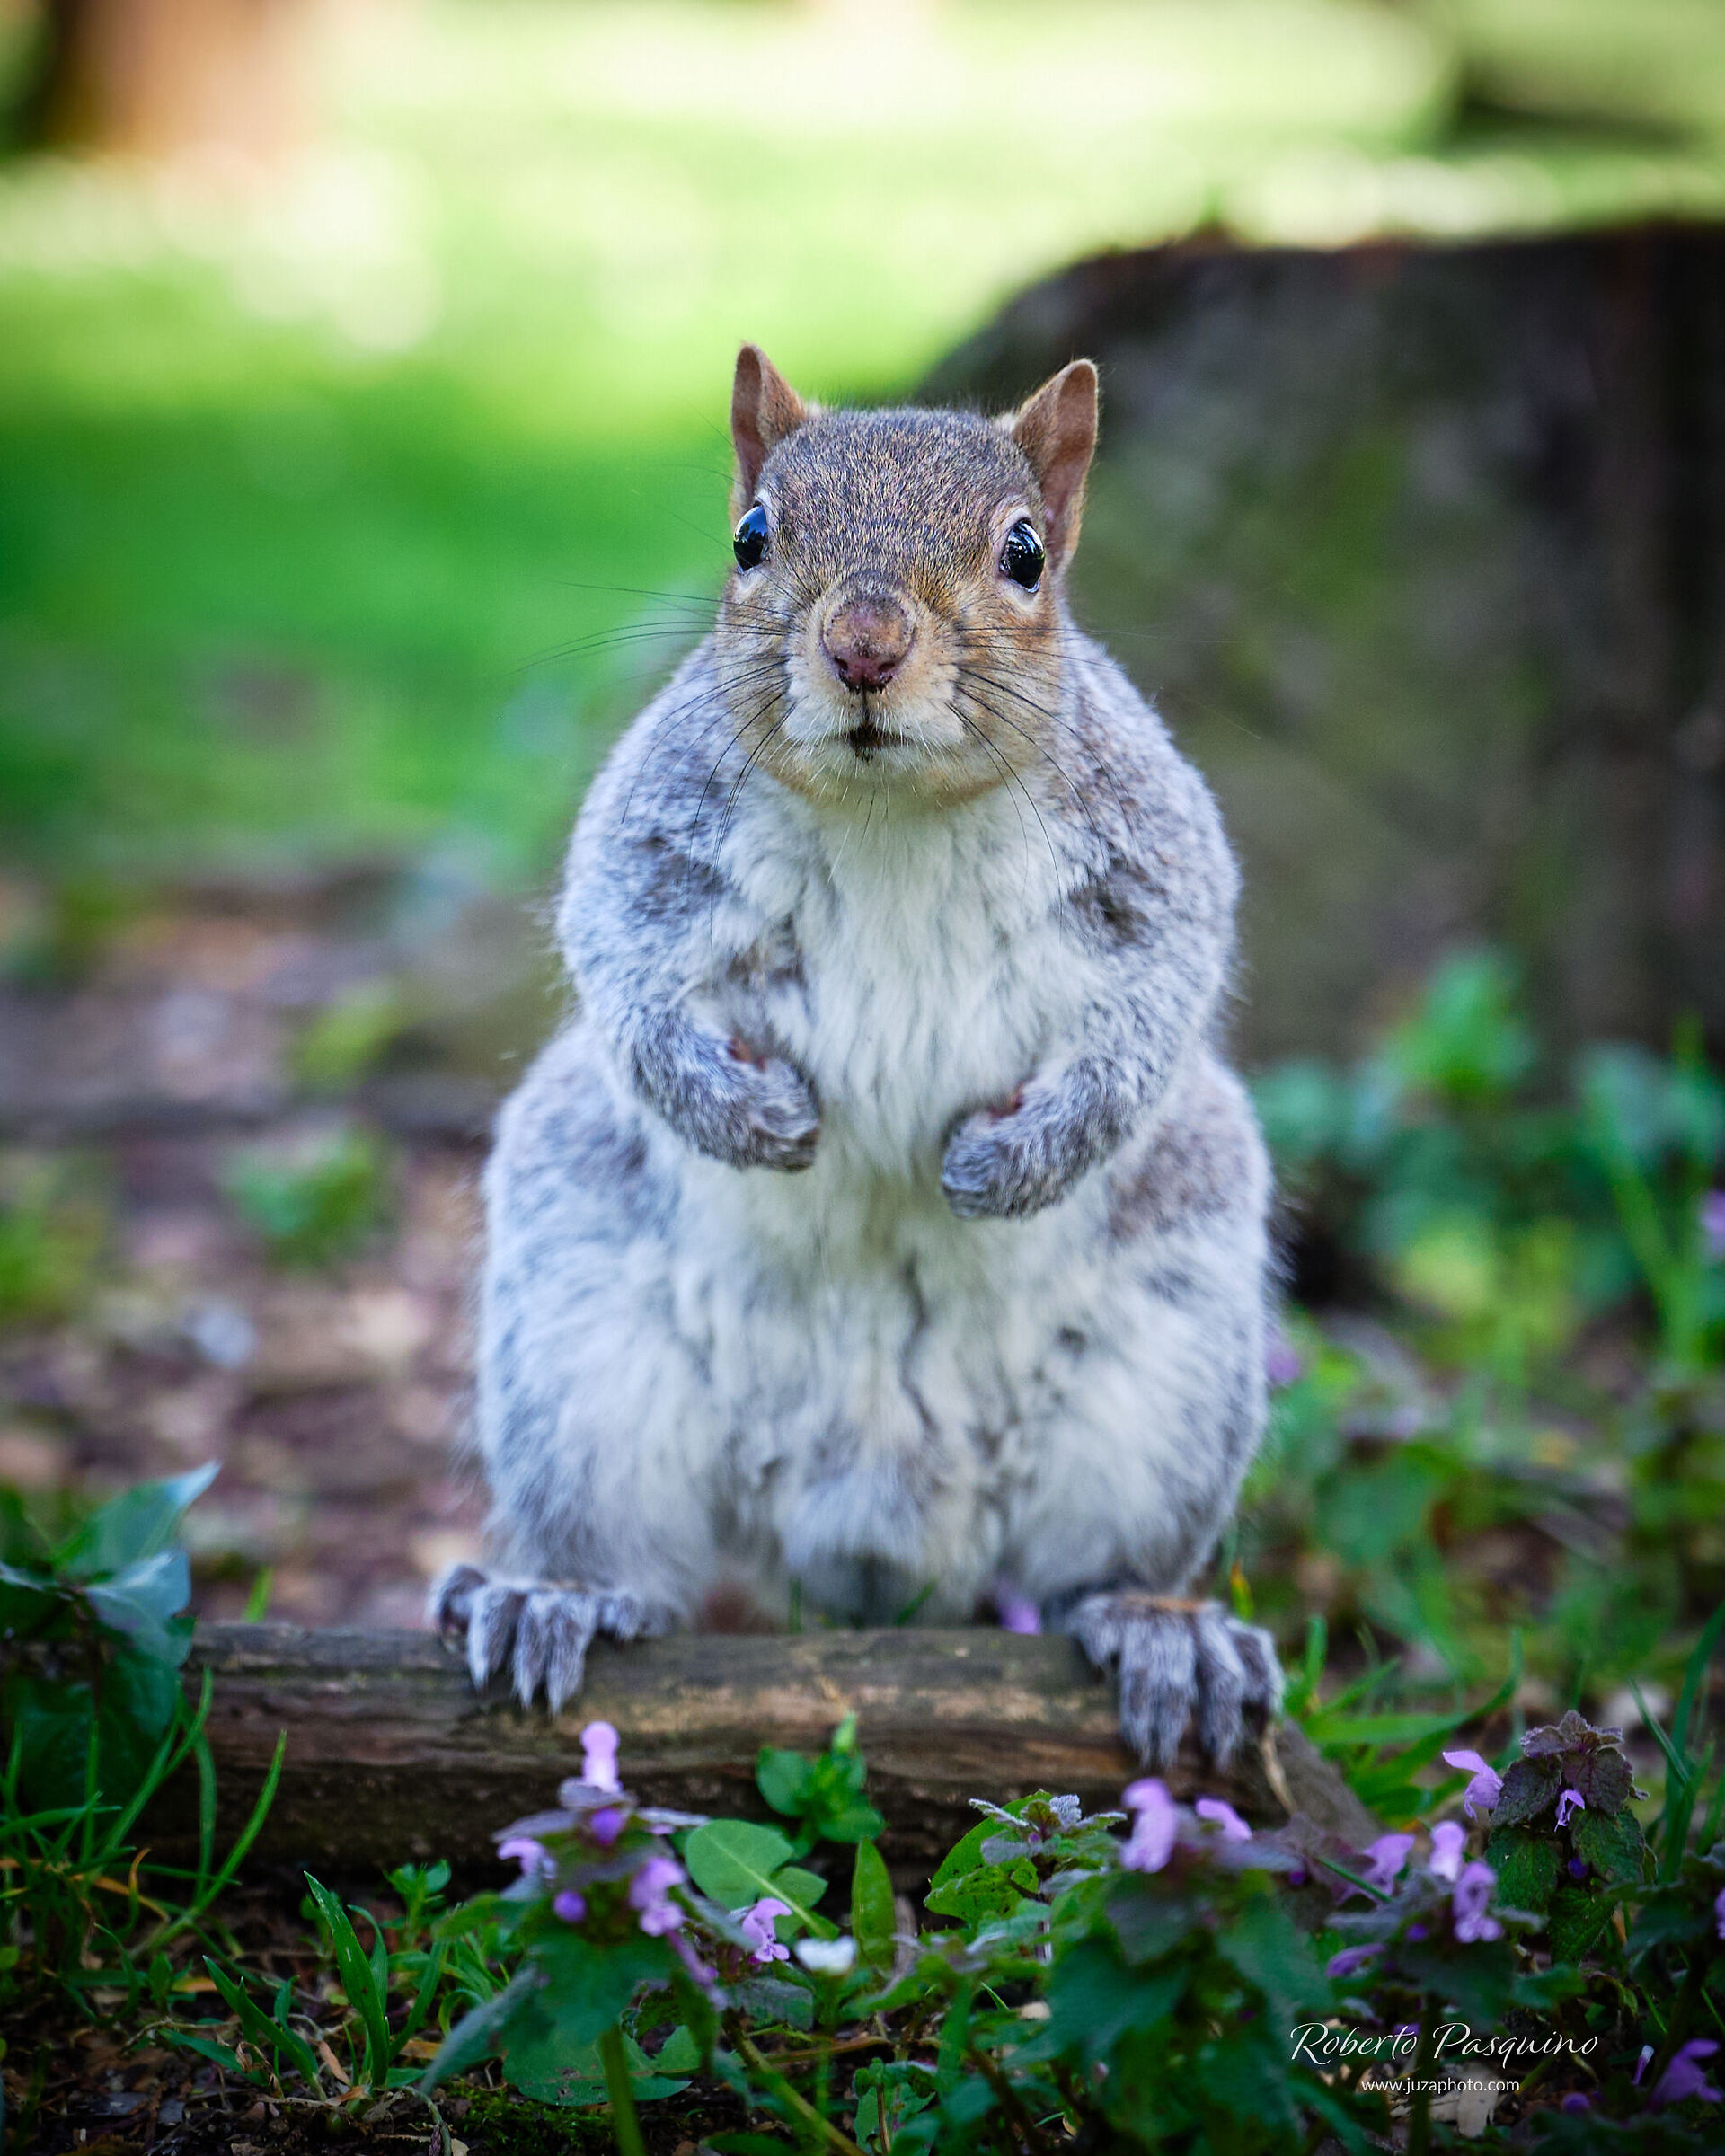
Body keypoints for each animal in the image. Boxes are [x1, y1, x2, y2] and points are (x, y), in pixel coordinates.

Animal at [432, 346, 1281, 1768]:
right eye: (750, 535)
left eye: (1026, 553)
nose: (864, 646)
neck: (894, 815)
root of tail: (871, 1527)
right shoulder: (648, 834)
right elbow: (620, 965)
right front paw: (743, 1115)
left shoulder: (1153, 849)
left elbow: (1160, 1003)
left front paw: (1014, 1160)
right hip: (583, 1338)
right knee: (627, 1548)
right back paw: (561, 1596)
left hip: (1168, 1363)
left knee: (1090, 1572)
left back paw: (1161, 1629)